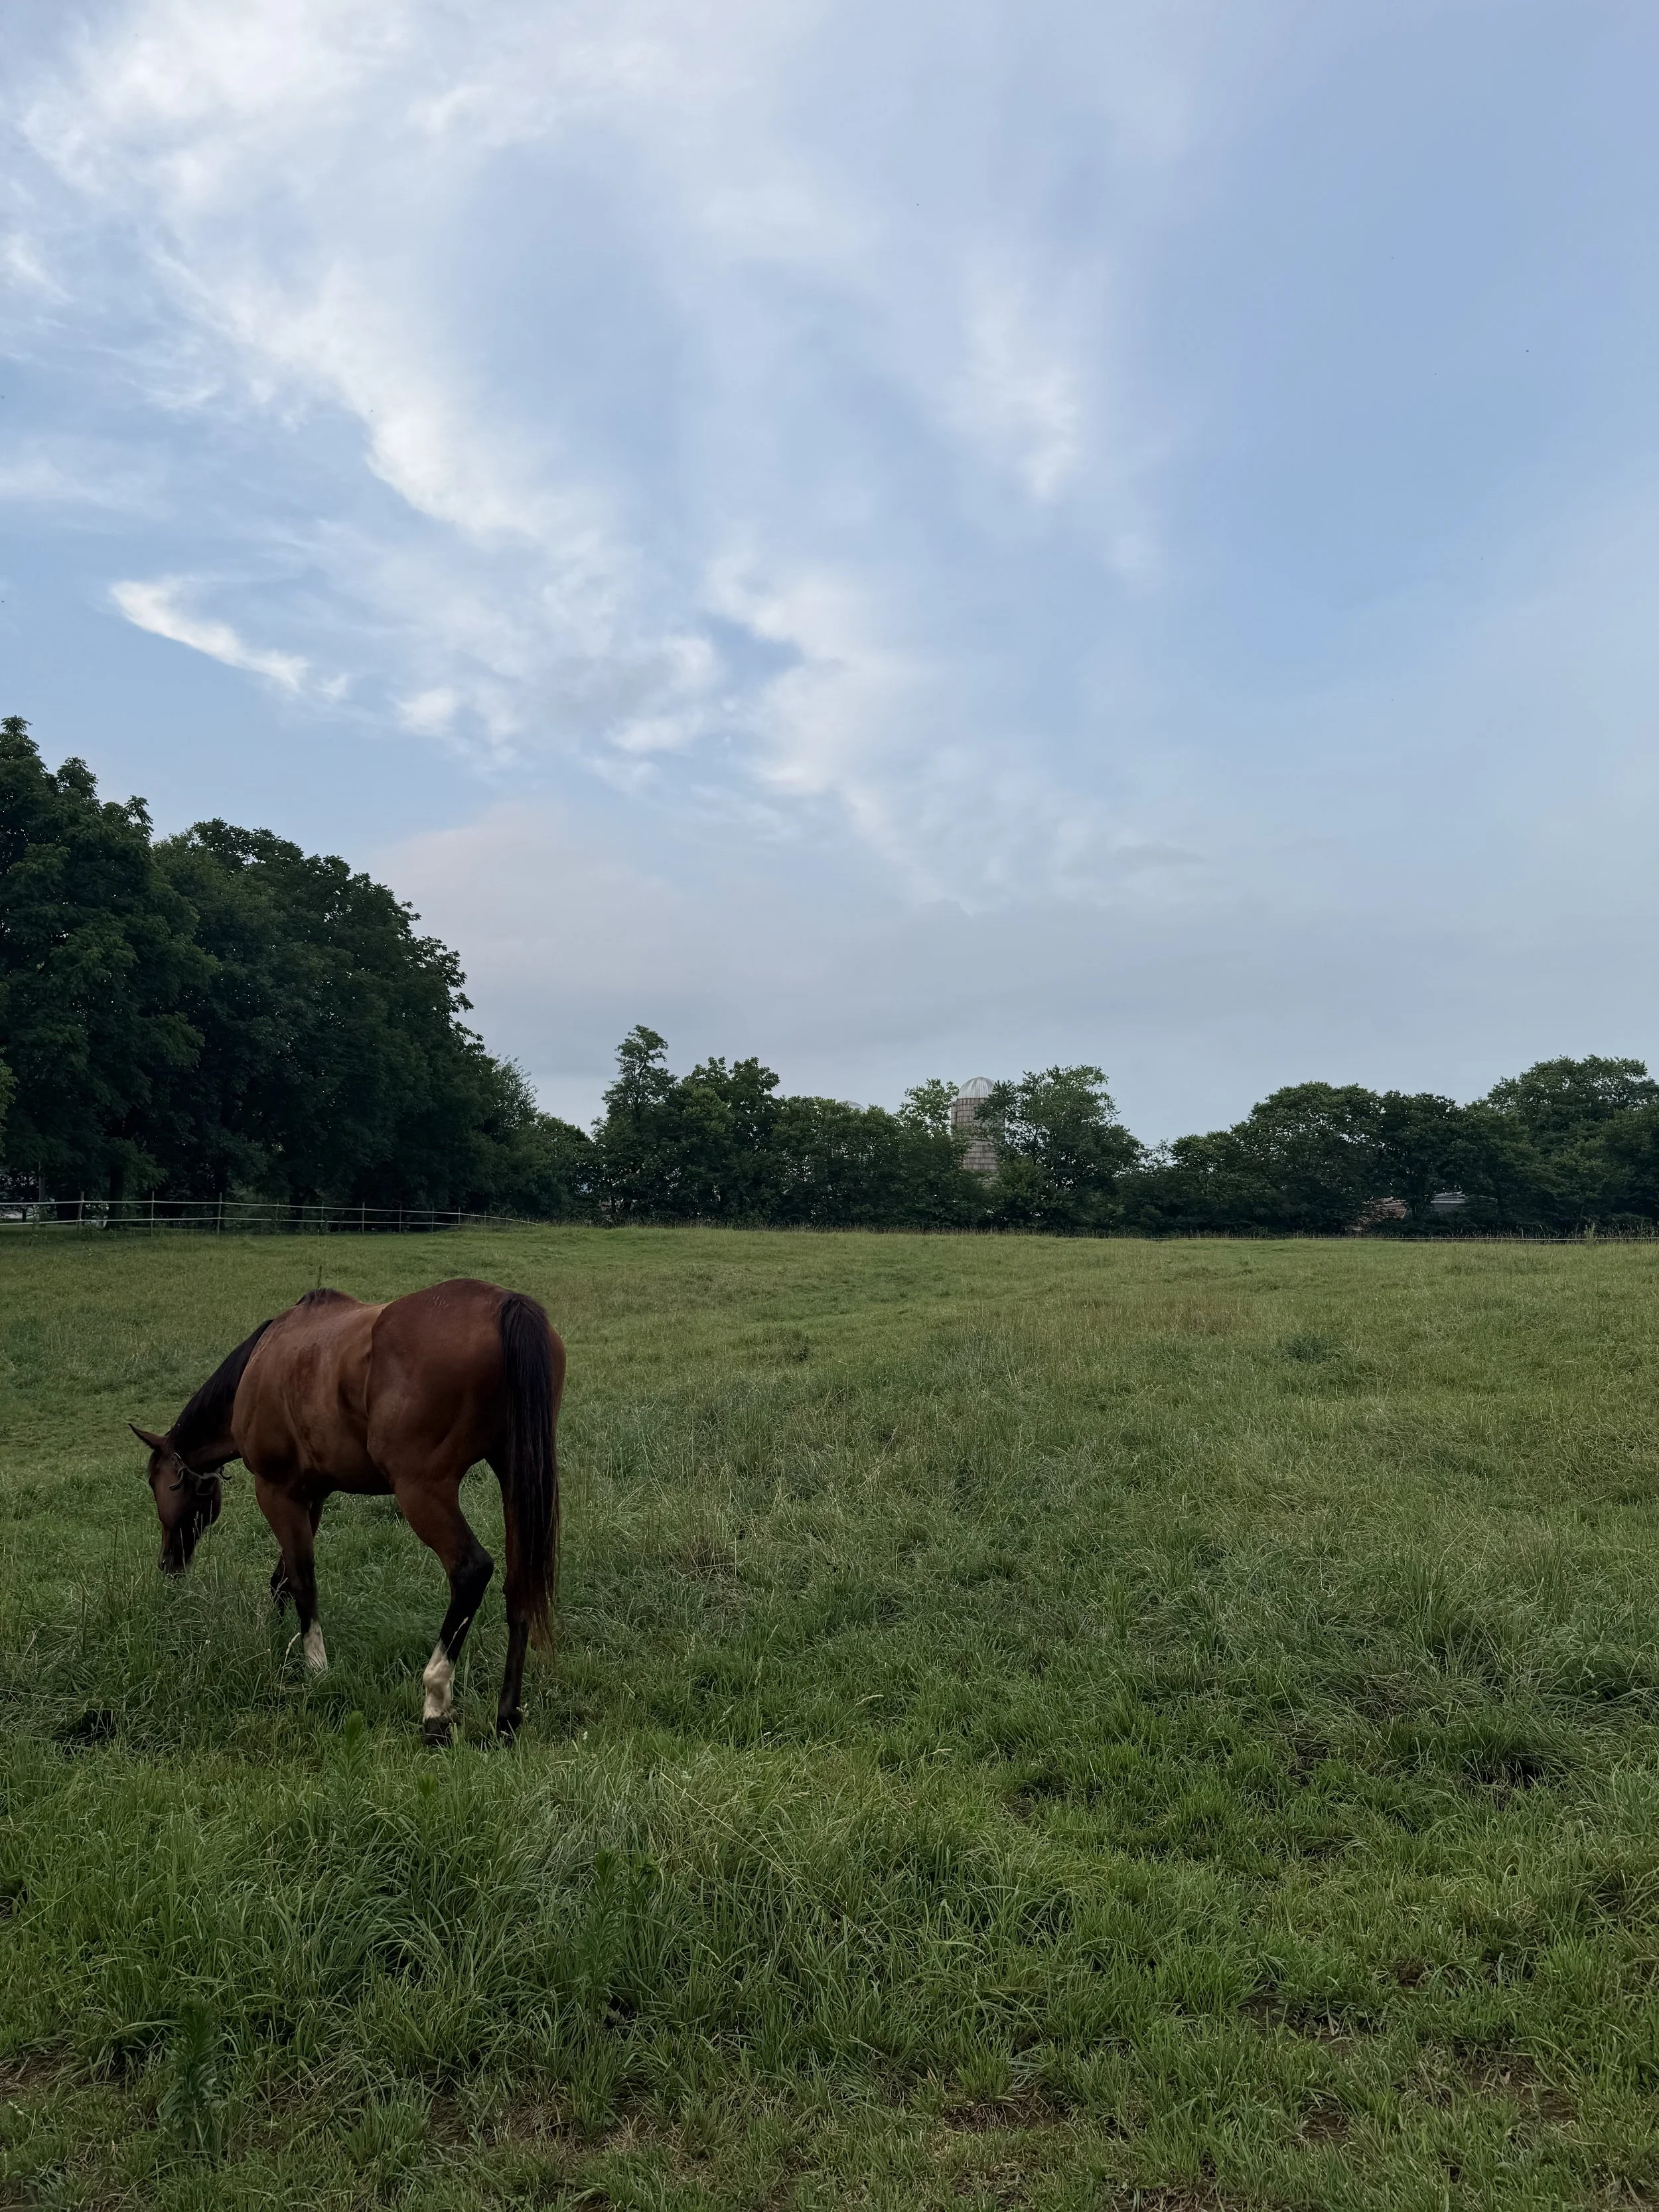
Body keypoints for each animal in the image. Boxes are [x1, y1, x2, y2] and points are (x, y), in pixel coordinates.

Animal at [130, 1278, 564, 1741]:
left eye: (156, 1484)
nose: (169, 1564)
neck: (262, 1361)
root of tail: (504, 1303)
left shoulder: (276, 1492)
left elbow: (302, 1579)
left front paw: (316, 1667)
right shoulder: (310, 1497)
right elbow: (283, 1579)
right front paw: (280, 1642)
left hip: (422, 1492)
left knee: (471, 1570)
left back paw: (435, 1702)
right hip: (517, 1478)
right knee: (521, 1584)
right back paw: (506, 1716)